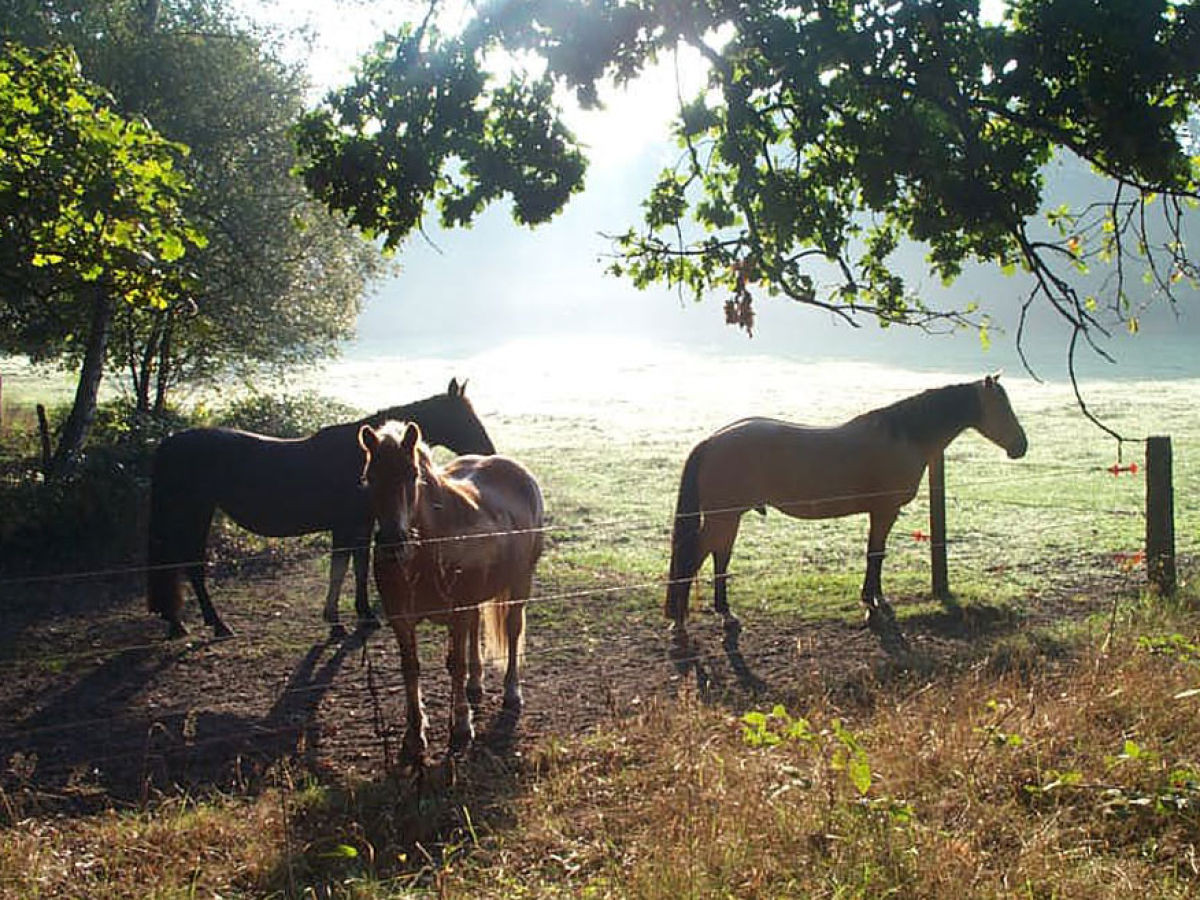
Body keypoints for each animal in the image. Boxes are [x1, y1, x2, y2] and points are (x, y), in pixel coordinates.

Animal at [145, 381, 492, 643]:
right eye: (464, 417)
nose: (488, 452)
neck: (363, 456)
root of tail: (169, 443)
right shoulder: (346, 526)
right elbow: (340, 568)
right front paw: (336, 622)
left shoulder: (362, 525)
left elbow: (358, 567)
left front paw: (364, 615)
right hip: (195, 513)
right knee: (191, 565)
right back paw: (215, 624)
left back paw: (178, 622)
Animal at [355, 420, 544, 763]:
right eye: (370, 477)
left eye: (411, 474)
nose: (393, 542)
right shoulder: (401, 620)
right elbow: (411, 668)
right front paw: (414, 734)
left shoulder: (456, 612)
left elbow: (455, 664)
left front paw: (461, 726)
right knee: (475, 628)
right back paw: (475, 685)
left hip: (520, 583)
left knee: (512, 631)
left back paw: (511, 692)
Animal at [662, 376, 1027, 638]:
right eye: (1001, 407)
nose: (1021, 446)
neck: (902, 436)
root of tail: (711, 441)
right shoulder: (884, 512)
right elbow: (874, 555)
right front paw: (871, 604)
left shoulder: (882, 513)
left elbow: (877, 555)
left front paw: (876, 599)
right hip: (724, 518)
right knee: (694, 558)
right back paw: (681, 621)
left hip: (729, 518)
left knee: (718, 558)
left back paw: (724, 614)